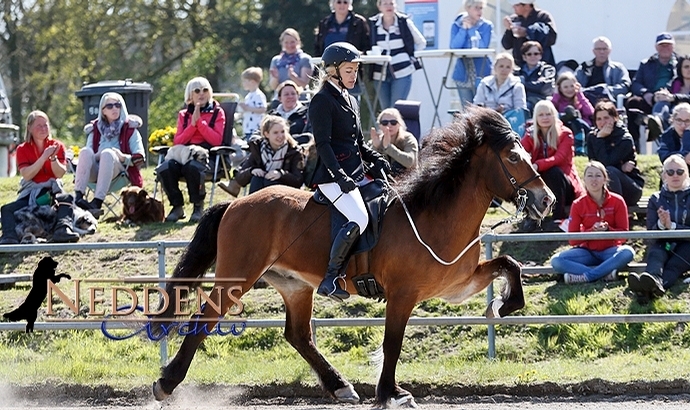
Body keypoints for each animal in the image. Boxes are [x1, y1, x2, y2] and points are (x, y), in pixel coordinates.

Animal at [150, 107, 552, 408]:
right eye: (513, 157)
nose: (546, 199)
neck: (435, 216)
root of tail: (237, 203)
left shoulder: (456, 285)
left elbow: (509, 265)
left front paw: (502, 305)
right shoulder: (403, 295)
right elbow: (392, 343)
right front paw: (390, 393)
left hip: (294, 285)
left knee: (298, 335)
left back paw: (339, 385)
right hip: (239, 275)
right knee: (203, 320)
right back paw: (166, 383)